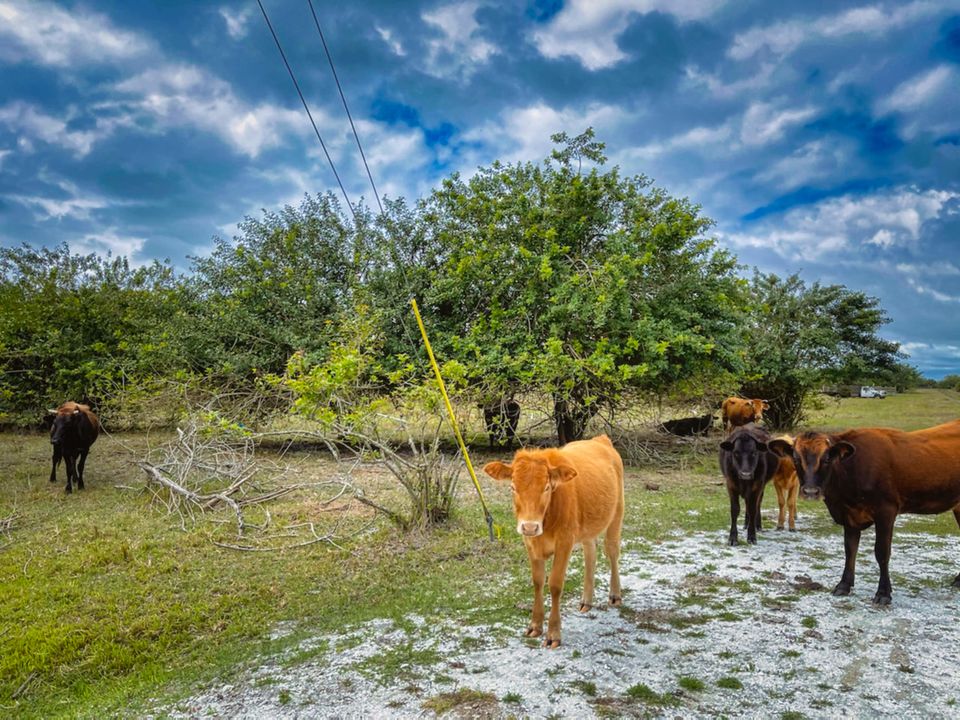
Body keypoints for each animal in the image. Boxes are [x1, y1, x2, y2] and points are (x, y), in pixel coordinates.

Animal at [484, 436, 628, 648]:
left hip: (617, 512)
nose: (529, 526)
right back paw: (587, 601)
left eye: (546, 487)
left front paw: (553, 633)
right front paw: (535, 625)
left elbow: (555, 584)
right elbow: (537, 581)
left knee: (612, 551)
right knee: (590, 553)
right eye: (512, 487)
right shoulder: (530, 543)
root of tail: (599, 439)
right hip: (587, 526)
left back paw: (615, 595)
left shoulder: (564, 542)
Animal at [768, 420, 960, 604]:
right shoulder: (849, 515)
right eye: (795, 458)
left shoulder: (886, 511)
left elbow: (882, 552)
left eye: (827, 458)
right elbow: (850, 549)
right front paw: (844, 585)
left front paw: (883, 593)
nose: (810, 491)